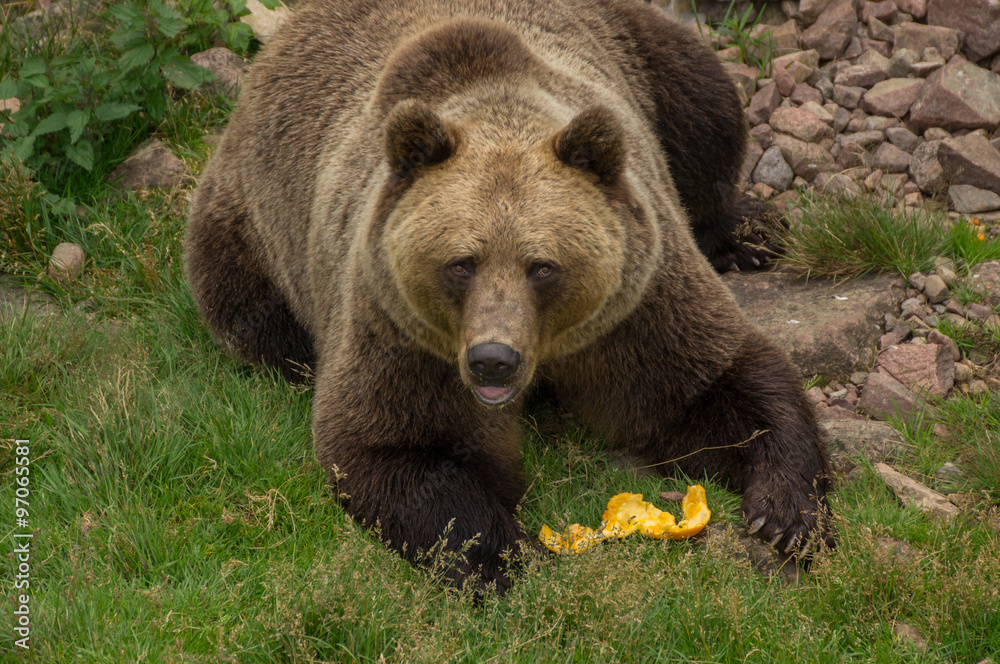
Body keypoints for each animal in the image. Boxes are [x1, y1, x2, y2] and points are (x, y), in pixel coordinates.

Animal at [186, 0, 833, 593]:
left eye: (542, 267)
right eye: (461, 264)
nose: (493, 359)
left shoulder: (634, 309)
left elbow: (711, 385)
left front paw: (787, 515)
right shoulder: (400, 327)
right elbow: (396, 448)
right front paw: (511, 559)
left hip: (640, 50)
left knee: (703, 105)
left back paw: (749, 232)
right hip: (249, 226)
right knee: (258, 322)